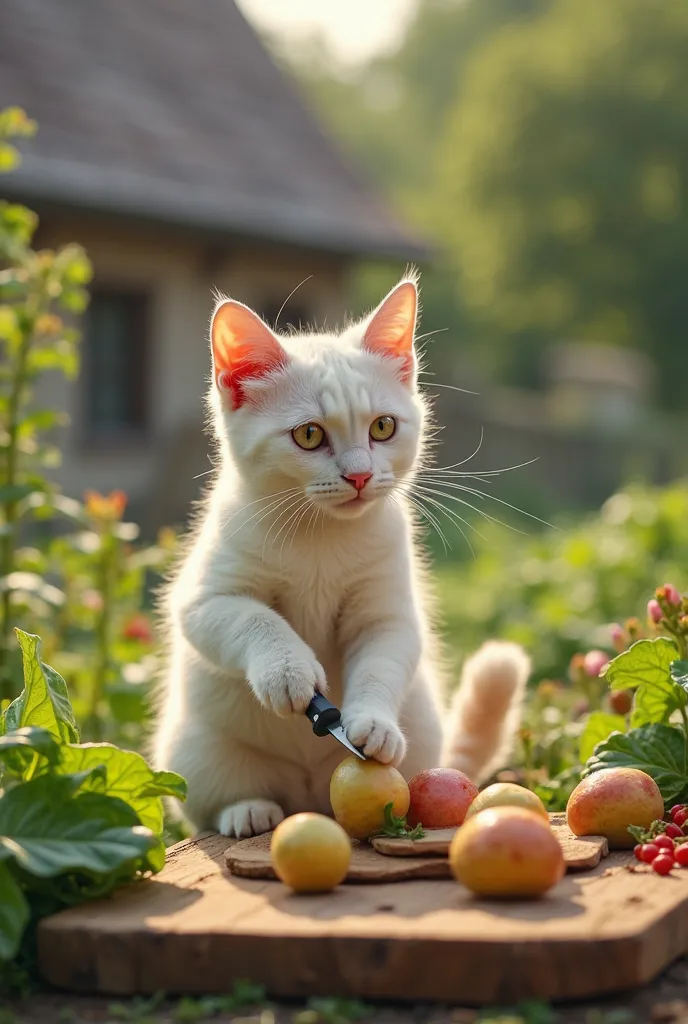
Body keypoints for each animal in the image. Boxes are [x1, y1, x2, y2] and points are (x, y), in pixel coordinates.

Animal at [153, 276, 528, 835]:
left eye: (383, 427)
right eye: (309, 434)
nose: (359, 475)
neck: (320, 537)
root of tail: (309, 796)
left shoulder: (387, 613)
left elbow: (380, 662)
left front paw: (372, 723)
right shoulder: (204, 598)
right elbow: (253, 620)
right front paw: (288, 673)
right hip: (195, 750)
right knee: (215, 801)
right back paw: (246, 810)